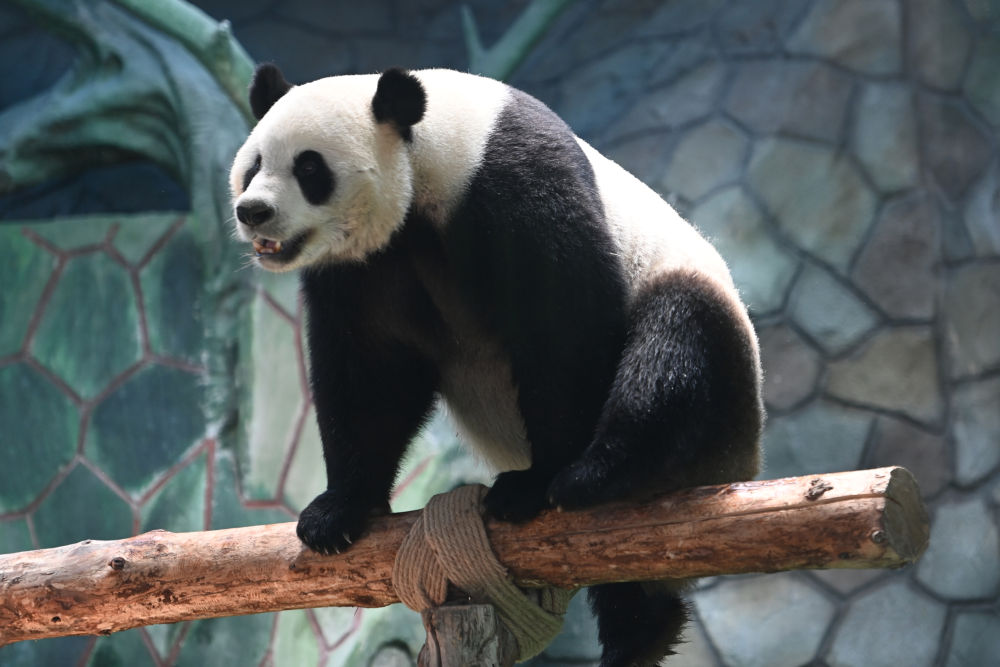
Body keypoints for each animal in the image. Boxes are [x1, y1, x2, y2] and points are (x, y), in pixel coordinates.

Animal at [232, 64, 764, 667]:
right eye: (254, 165)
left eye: (309, 168)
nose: (253, 211)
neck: (429, 153)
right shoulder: (365, 266)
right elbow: (368, 374)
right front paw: (337, 512)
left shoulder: (509, 185)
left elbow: (562, 329)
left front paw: (536, 484)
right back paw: (641, 629)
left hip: (715, 359)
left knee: (674, 350)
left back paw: (600, 474)